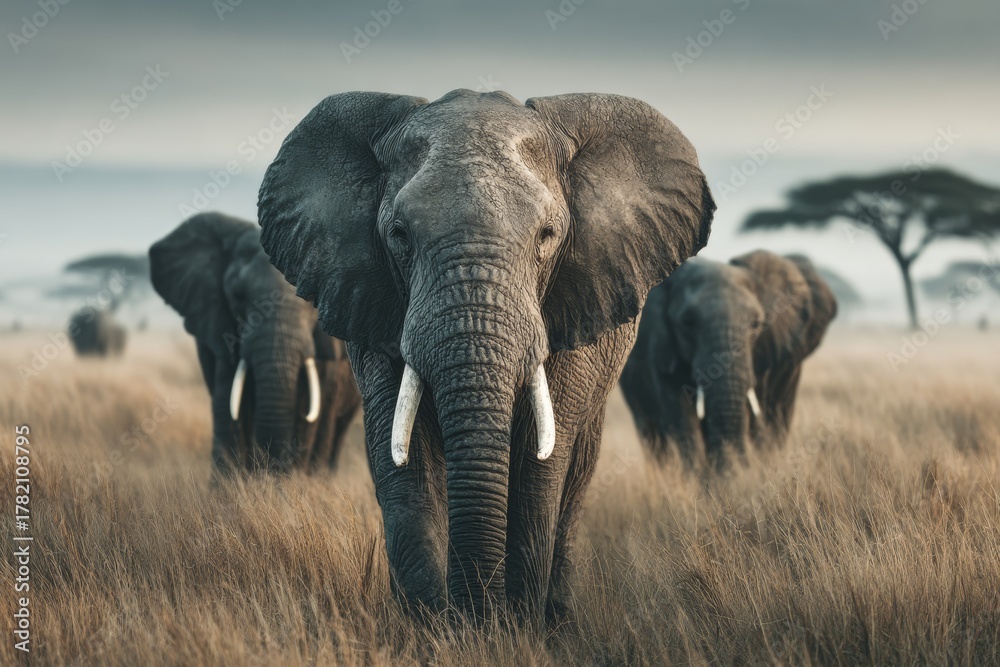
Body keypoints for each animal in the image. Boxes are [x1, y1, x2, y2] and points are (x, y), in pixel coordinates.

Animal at [256, 89, 715, 624]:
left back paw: (555, 617)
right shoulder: (375, 301)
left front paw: (513, 625)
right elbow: (402, 455)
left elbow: (540, 460)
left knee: (575, 476)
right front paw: (433, 625)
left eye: (547, 235)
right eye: (399, 235)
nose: (477, 616)